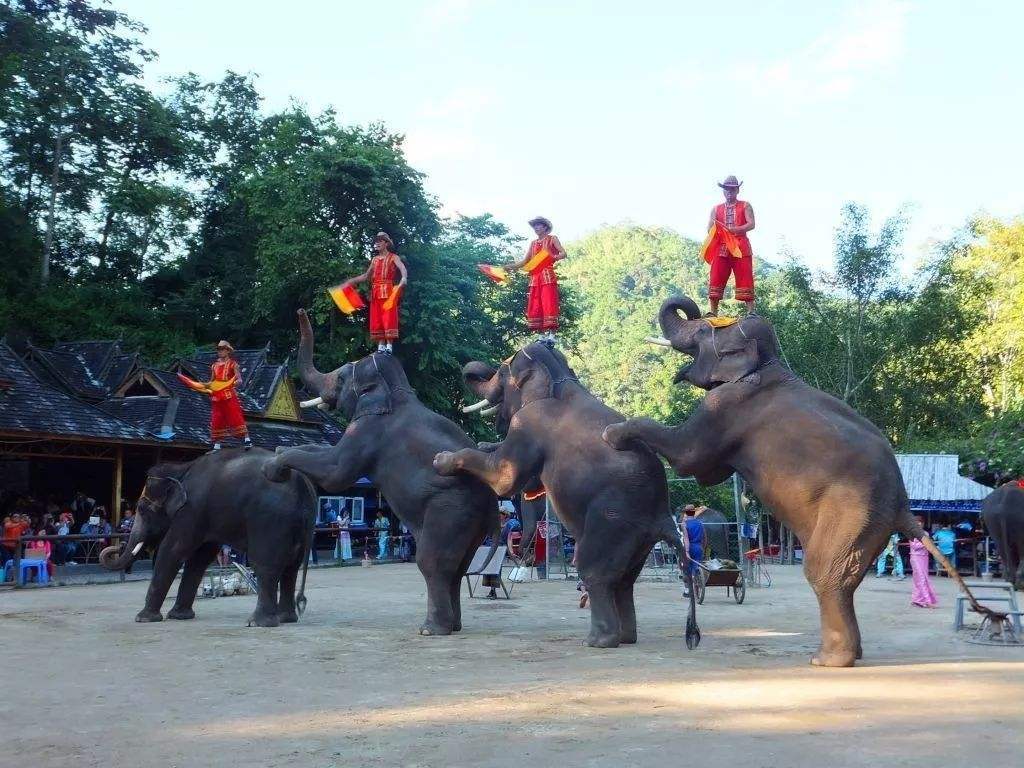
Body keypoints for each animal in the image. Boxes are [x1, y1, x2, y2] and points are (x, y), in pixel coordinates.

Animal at [101, 450, 315, 626]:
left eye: (141, 509)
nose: (117, 544)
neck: (181, 468)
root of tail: (304, 486)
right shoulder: (206, 514)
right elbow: (199, 558)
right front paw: (179, 616)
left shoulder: (192, 509)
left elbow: (173, 549)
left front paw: (143, 618)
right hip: (296, 527)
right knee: (291, 568)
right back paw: (285, 618)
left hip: (269, 520)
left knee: (265, 564)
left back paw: (257, 623)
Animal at [262, 309, 497, 638]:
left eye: (342, 378)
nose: (300, 311)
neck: (397, 390)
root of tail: (493, 503)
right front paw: (280, 451)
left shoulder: (368, 430)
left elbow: (336, 472)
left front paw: (273, 466)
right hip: (470, 521)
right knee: (459, 565)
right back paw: (453, 627)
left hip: (451, 509)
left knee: (433, 562)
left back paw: (430, 630)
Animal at [428, 342, 700, 651]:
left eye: (502, 372)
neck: (559, 376)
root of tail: (664, 517)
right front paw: (484, 444)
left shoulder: (528, 421)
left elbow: (505, 478)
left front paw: (441, 460)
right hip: (639, 538)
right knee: (625, 581)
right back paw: (626, 638)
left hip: (613, 520)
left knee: (596, 572)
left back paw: (597, 641)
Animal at [602, 296, 987, 671]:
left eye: (699, 332)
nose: (699, 308)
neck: (766, 361)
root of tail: (904, 507)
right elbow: (708, 472)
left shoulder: (726, 407)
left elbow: (689, 457)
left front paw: (611, 435)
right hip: (871, 526)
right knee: (848, 580)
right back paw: (850, 653)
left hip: (853, 511)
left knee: (824, 573)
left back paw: (826, 660)